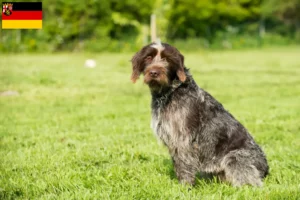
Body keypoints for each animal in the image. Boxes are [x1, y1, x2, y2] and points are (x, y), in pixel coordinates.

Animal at [130, 41, 268, 187]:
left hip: (235, 158)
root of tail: (266, 168)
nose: (154, 72)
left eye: (167, 59)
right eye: (148, 57)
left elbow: (183, 165)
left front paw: (185, 186)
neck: (170, 93)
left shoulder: (183, 139)